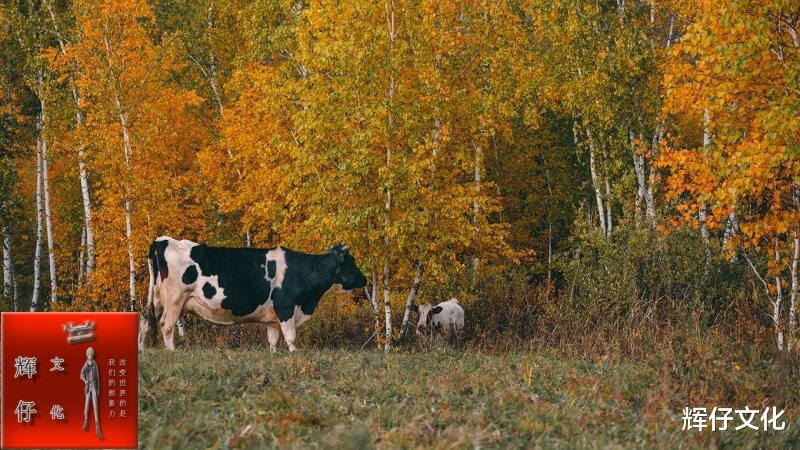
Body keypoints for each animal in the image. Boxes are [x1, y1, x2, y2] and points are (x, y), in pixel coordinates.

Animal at [138, 236, 368, 352]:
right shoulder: (286, 307)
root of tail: (163, 240)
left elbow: (273, 340)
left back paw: (141, 351)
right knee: (166, 326)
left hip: (156, 297)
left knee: (145, 321)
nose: (364, 279)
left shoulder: (273, 318)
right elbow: (291, 338)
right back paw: (172, 352)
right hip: (175, 299)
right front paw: (295, 356)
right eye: (351, 261)